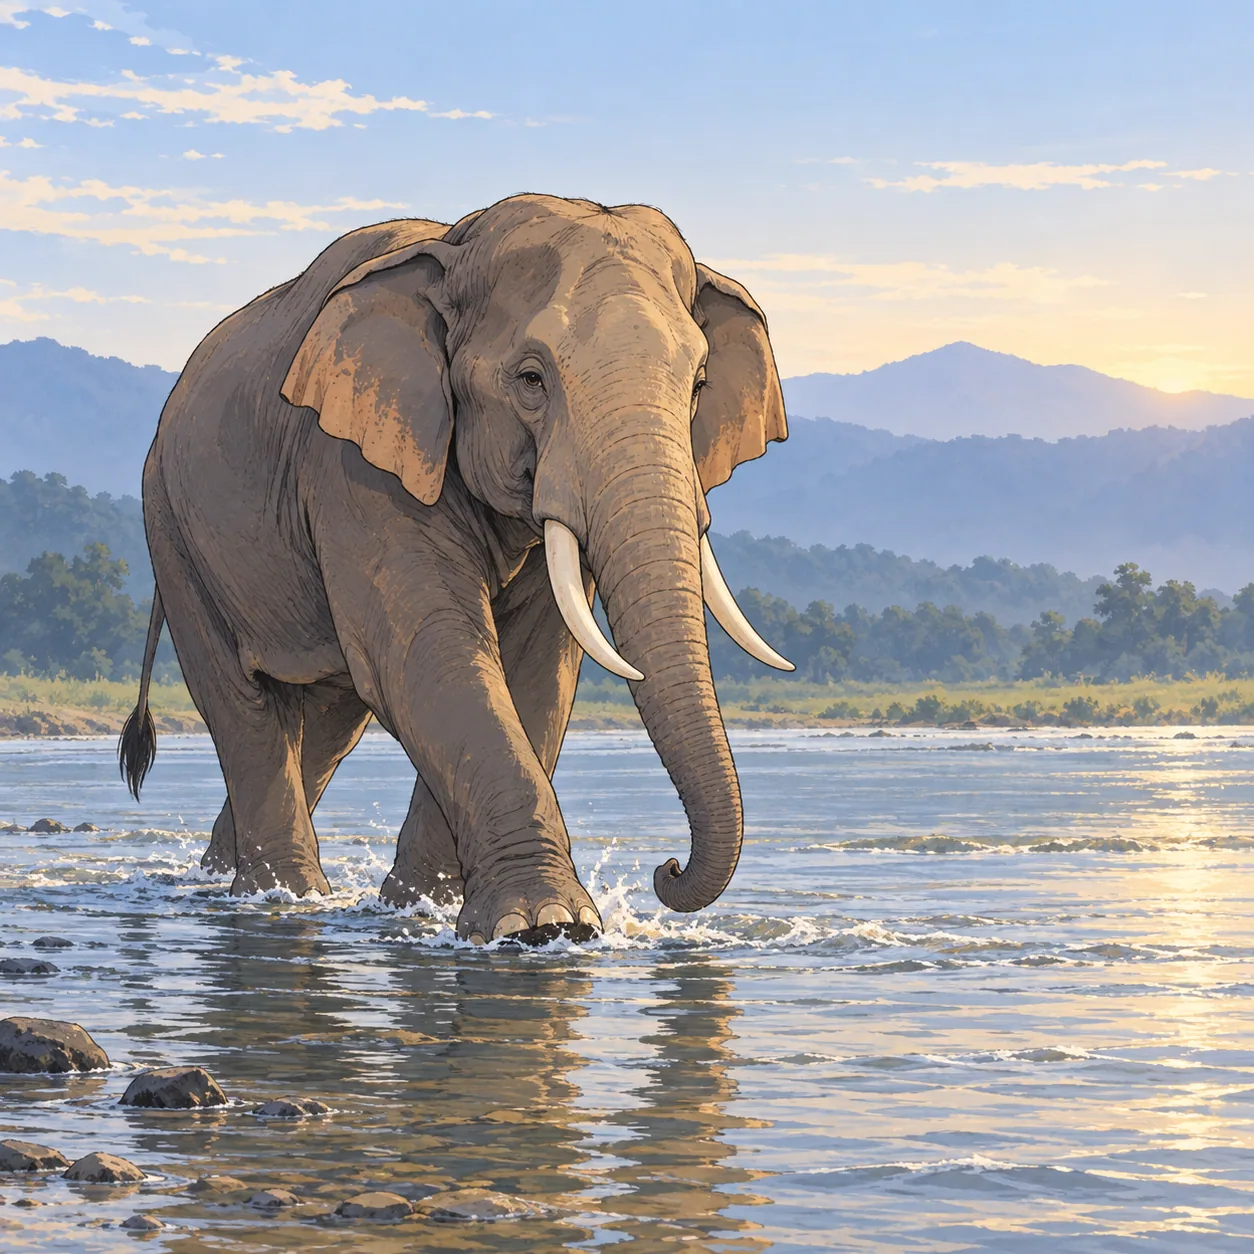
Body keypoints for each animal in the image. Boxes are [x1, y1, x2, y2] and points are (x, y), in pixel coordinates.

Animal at [119, 193, 791, 943]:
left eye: (699, 384)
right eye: (530, 379)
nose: (666, 869)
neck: (456, 244)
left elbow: (536, 669)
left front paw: (429, 909)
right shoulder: (352, 454)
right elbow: (427, 650)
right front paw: (545, 926)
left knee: (326, 721)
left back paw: (233, 878)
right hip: (171, 524)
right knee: (243, 704)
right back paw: (281, 897)